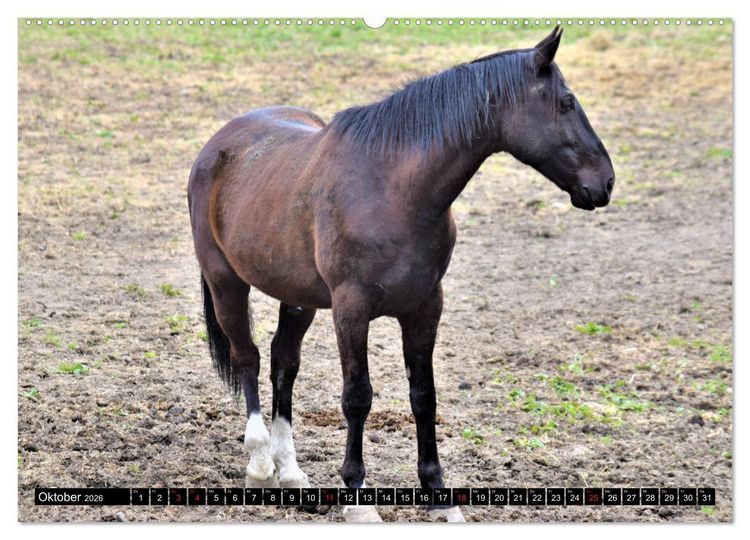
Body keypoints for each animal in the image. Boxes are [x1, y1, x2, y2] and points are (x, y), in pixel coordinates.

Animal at [187, 26, 614, 522]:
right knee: (248, 358)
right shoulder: (351, 310)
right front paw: (358, 497)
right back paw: (259, 464)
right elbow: (357, 397)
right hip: (226, 282)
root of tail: (218, 144)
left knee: (282, 364)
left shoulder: (425, 306)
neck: (394, 189)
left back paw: (289, 471)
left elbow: (423, 396)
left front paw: (439, 496)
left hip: (297, 296)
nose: (605, 182)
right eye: (566, 102)